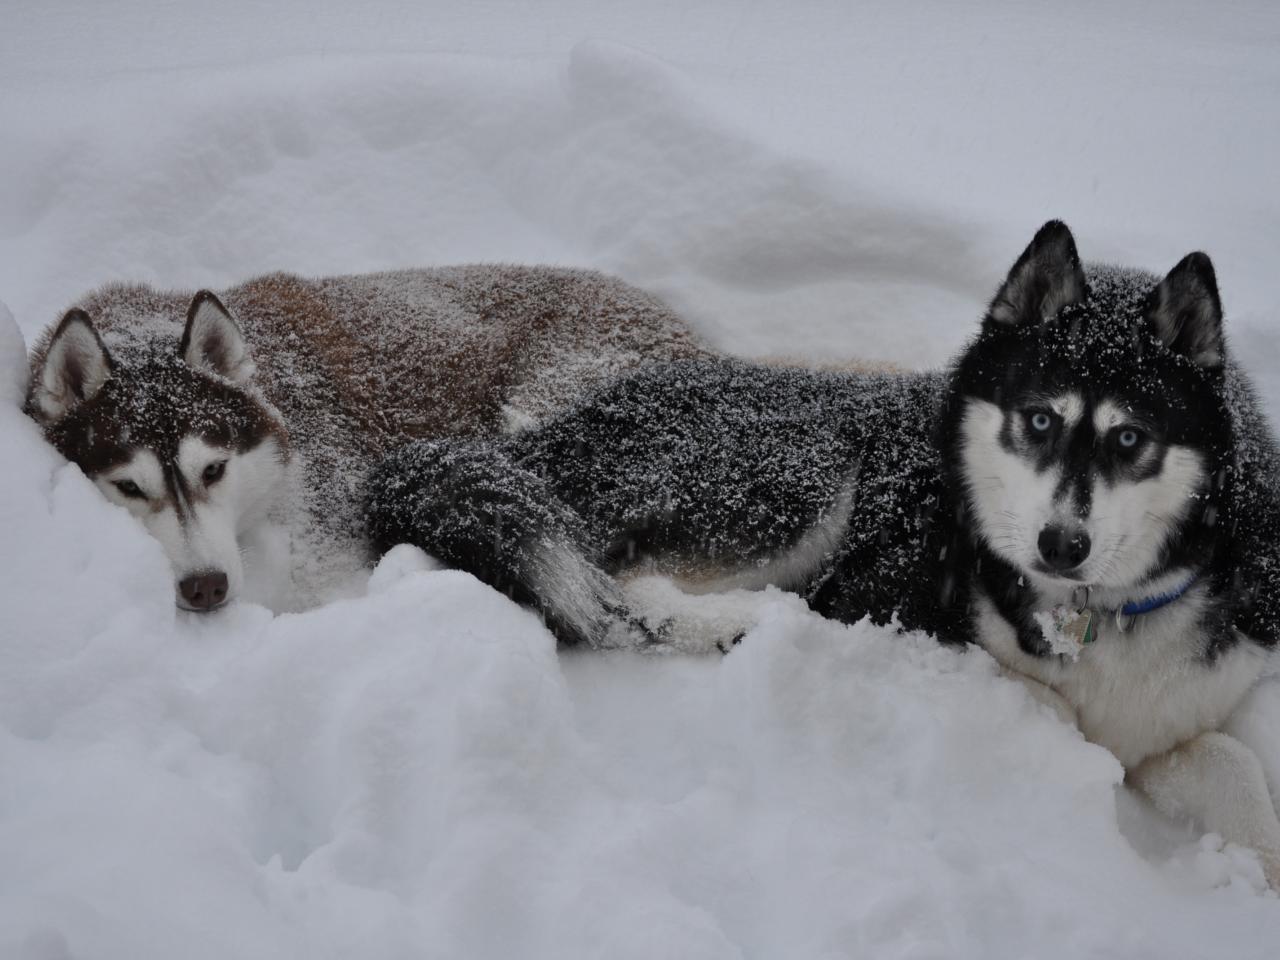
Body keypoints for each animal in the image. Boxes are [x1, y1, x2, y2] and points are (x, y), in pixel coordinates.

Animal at [366, 224, 1280, 885]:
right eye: (1039, 419)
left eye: (1130, 438)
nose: (1062, 545)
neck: (1098, 616)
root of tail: (552, 432)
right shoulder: (912, 615)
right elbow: (1051, 713)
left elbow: (1232, 763)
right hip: (800, 479)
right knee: (616, 591)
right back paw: (731, 624)